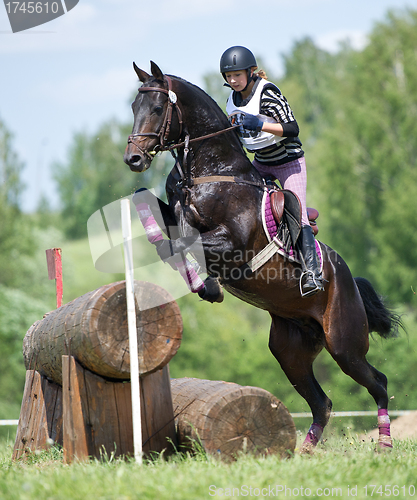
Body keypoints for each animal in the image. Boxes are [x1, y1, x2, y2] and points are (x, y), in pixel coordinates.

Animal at [122, 60, 400, 452]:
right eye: (135, 107)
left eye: (159, 108)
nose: (133, 158)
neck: (212, 171)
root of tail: (348, 280)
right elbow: (150, 208)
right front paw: (200, 281)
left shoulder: (231, 243)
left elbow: (183, 245)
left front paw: (208, 287)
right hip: (290, 350)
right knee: (322, 402)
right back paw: (305, 451)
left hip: (344, 343)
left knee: (378, 382)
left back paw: (384, 443)